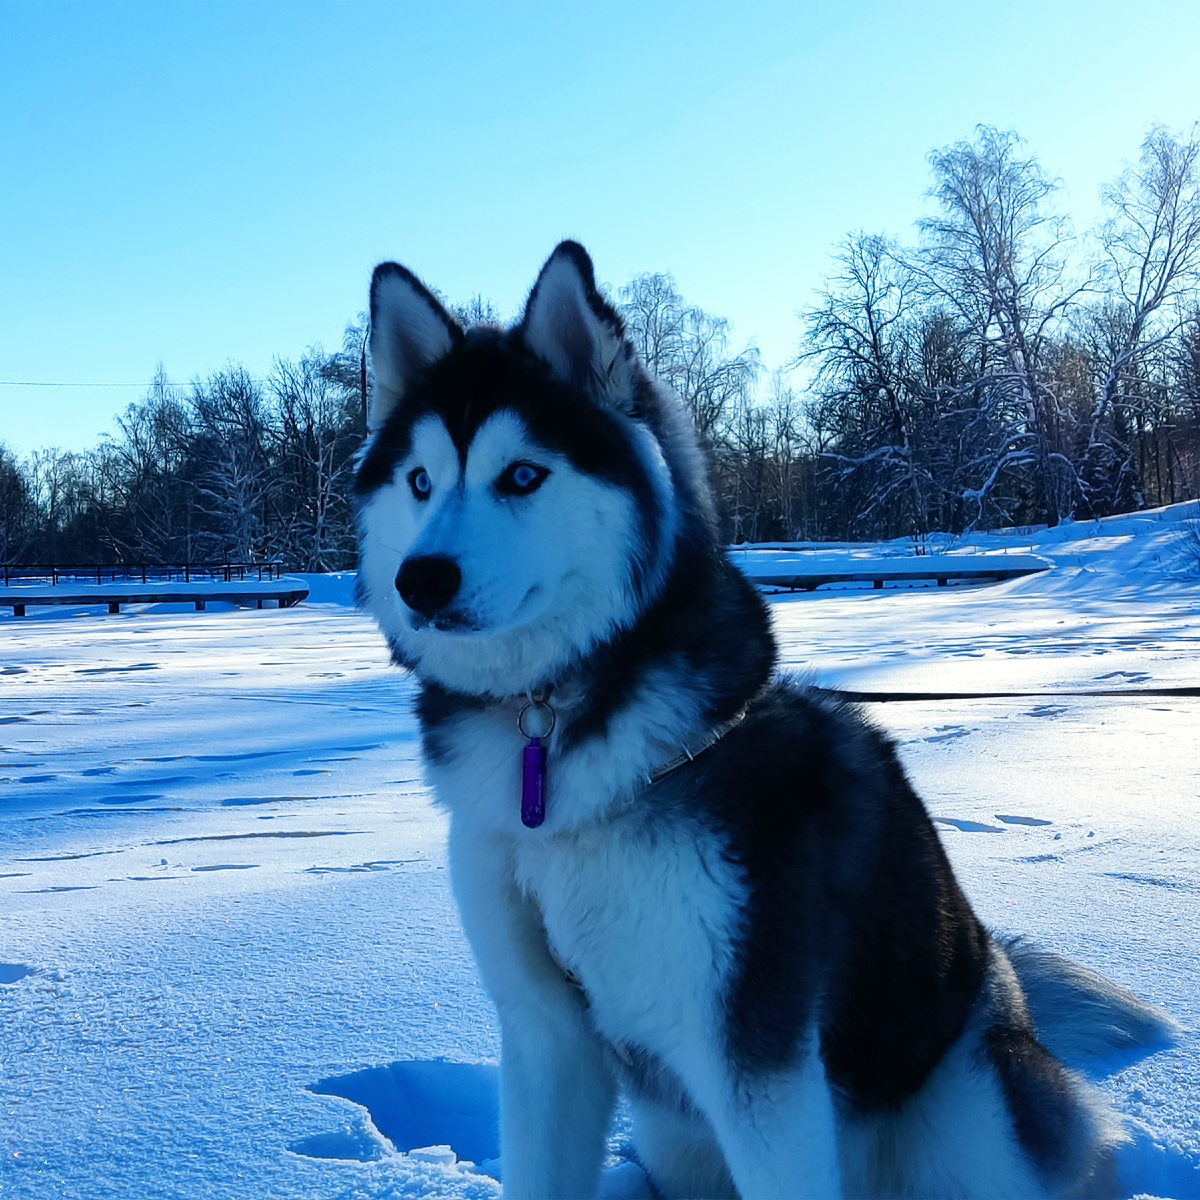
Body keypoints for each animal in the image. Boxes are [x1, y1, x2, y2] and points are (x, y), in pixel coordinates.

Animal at [350, 246, 1176, 1200]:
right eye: (420, 482)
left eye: (522, 475)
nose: (421, 580)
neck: (555, 756)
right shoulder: (543, 1034)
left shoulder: (755, 1053)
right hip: (677, 1142)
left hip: (964, 1123)